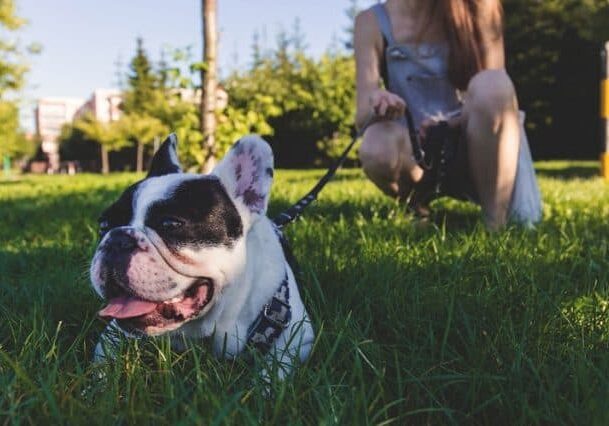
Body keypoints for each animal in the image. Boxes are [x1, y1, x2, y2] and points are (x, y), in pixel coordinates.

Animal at [92, 134, 316, 380]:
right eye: (103, 225)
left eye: (170, 224)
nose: (117, 239)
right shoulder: (113, 333)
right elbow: (101, 363)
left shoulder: (297, 338)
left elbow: (274, 371)